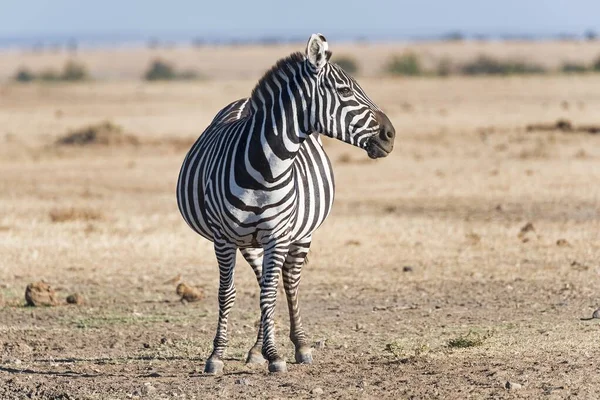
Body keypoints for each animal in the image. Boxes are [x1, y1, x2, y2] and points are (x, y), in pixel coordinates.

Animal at [176, 32, 396, 374]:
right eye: (346, 91)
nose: (390, 134)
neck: (265, 169)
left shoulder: (278, 236)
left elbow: (270, 294)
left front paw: (276, 355)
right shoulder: (223, 239)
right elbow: (228, 293)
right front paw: (218, 355)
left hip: (301, 234)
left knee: (288, 283)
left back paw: (299, 346)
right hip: (250, 243)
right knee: (265, 283)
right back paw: (256, 349)